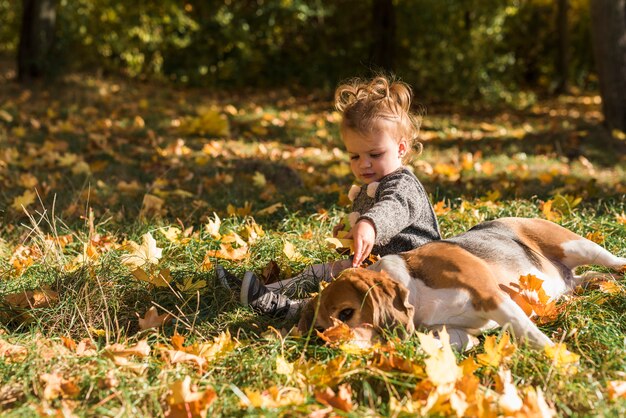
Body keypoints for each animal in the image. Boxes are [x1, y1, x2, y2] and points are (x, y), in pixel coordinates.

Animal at [298, 217, 624, 352]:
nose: (328, 346)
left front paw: (559, 360)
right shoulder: (450, 329)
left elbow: (528, 332)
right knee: (589, 279)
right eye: (319, 330)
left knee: (616, 261)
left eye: (346, 313)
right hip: (574, 281)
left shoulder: (492, 296)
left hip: (579, 246)